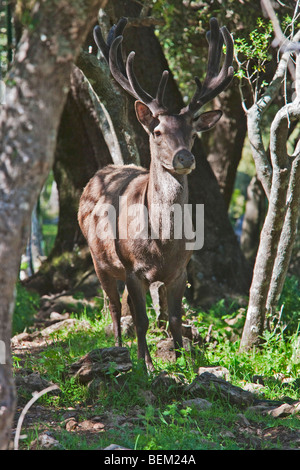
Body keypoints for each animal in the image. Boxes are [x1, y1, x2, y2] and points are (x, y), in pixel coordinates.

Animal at [78, 16, 233, 370]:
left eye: (193, 133)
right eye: (158, 131)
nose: (184, 158)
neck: (160, 243)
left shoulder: (180, 271)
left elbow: (174, 319)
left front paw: (186, 364)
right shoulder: (132, 268)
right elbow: (142, 319)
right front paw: (147, 367)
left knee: (121, 305)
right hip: (99, 259)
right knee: (114, 308)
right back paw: (118, 350)